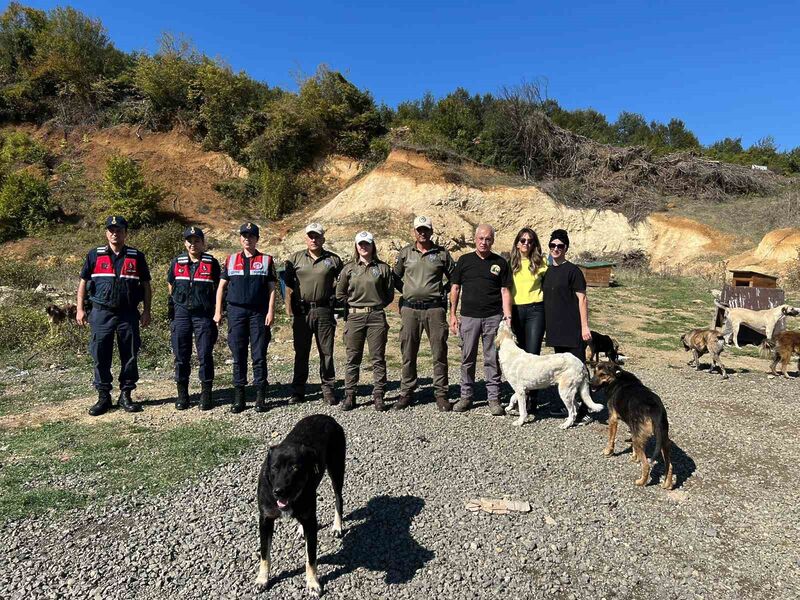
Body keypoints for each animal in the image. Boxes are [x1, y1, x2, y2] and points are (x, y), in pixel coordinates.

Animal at [256, 418, 344, 596]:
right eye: (274, 467)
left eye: (294, 468)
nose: (279, 491)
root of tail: (329, 418)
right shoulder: (265, 520)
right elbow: (264, 553)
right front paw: (262, 579)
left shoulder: (311, 522)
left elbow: (311, 557)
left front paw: (312, 583)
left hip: (337, 470)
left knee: (339, 499)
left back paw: (337, 526)